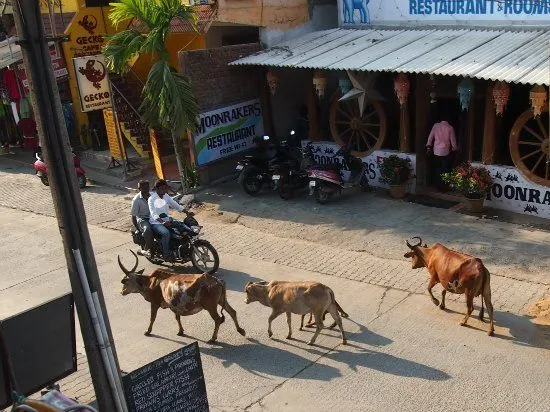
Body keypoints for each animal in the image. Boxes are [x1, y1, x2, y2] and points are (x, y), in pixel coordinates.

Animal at [119, 249, 248, 342]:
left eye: (125, 281)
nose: (122, 292)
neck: (151, 282)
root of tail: (218, 281)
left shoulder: (154, 302)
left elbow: (152, 318)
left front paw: (147, 331)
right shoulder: (174, 304)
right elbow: (177, 317)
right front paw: (180, 331)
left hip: (210, 306)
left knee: (218, 319)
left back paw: (212, 338)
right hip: (221, 300)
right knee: (232, 311)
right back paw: (240, 330)